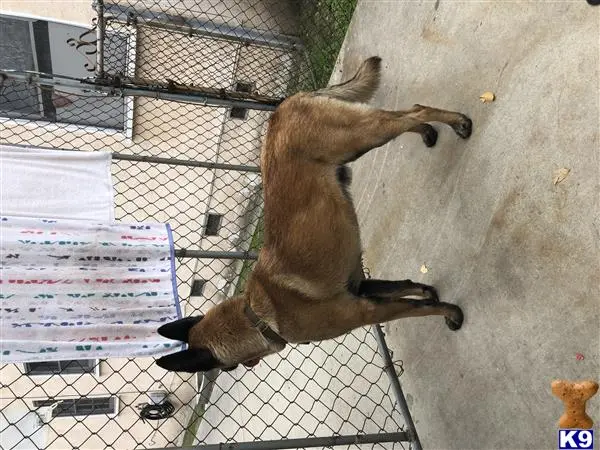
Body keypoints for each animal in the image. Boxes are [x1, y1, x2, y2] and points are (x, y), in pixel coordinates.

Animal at [156, 56, 474, 372]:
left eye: (226, 368)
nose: (242, 367)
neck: (256, 315)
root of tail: (285, 103)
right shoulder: (362, 288)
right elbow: (409, 288)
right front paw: (428, 292)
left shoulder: (367, 311)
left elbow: (419, 310)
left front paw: (450, 313)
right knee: (408, 114)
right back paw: (429, 131)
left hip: (360, 136)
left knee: (414, 112)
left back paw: (459, 122)